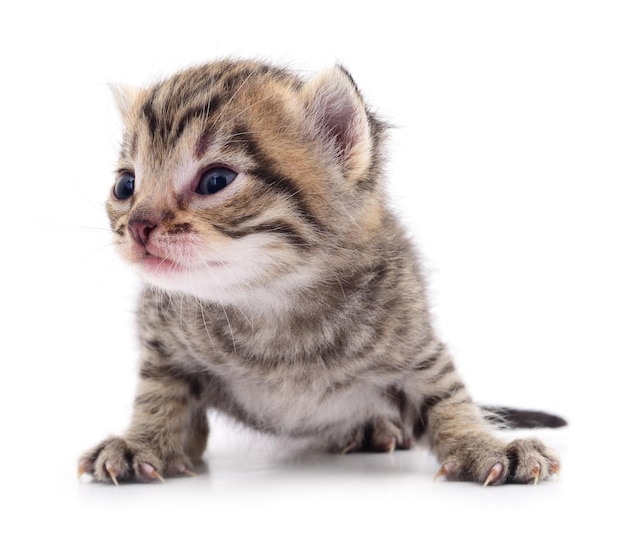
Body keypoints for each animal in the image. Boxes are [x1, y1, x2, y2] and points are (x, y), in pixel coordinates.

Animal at [79, 59, 564, 484]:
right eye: (125, 185)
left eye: (216, 180)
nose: (137, 225)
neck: (270, 303)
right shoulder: (163, 341)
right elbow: (158, 393)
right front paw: (142, 442)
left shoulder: (415, 344)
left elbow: (448, 396)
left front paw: (485, 446)